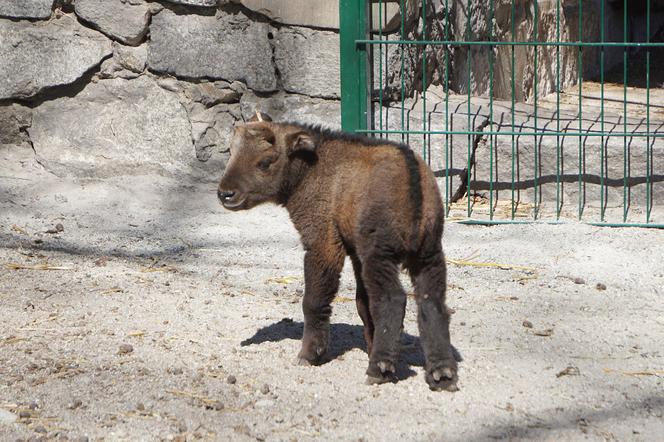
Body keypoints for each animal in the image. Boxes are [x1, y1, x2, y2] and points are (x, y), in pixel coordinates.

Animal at [218, 115, 456, 390]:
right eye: (231, 152)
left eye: (265, 161)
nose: (225, 194)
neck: (312, 169)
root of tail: (412, 179)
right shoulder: (356, 253)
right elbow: (363, 304)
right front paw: (370, 346)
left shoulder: (323, 243)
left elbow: (314, 300)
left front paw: (310, 354)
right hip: (428, 255)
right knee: (432, 303)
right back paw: (442, 373)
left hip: (381, 255)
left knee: (393, 300)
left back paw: (379, 369)